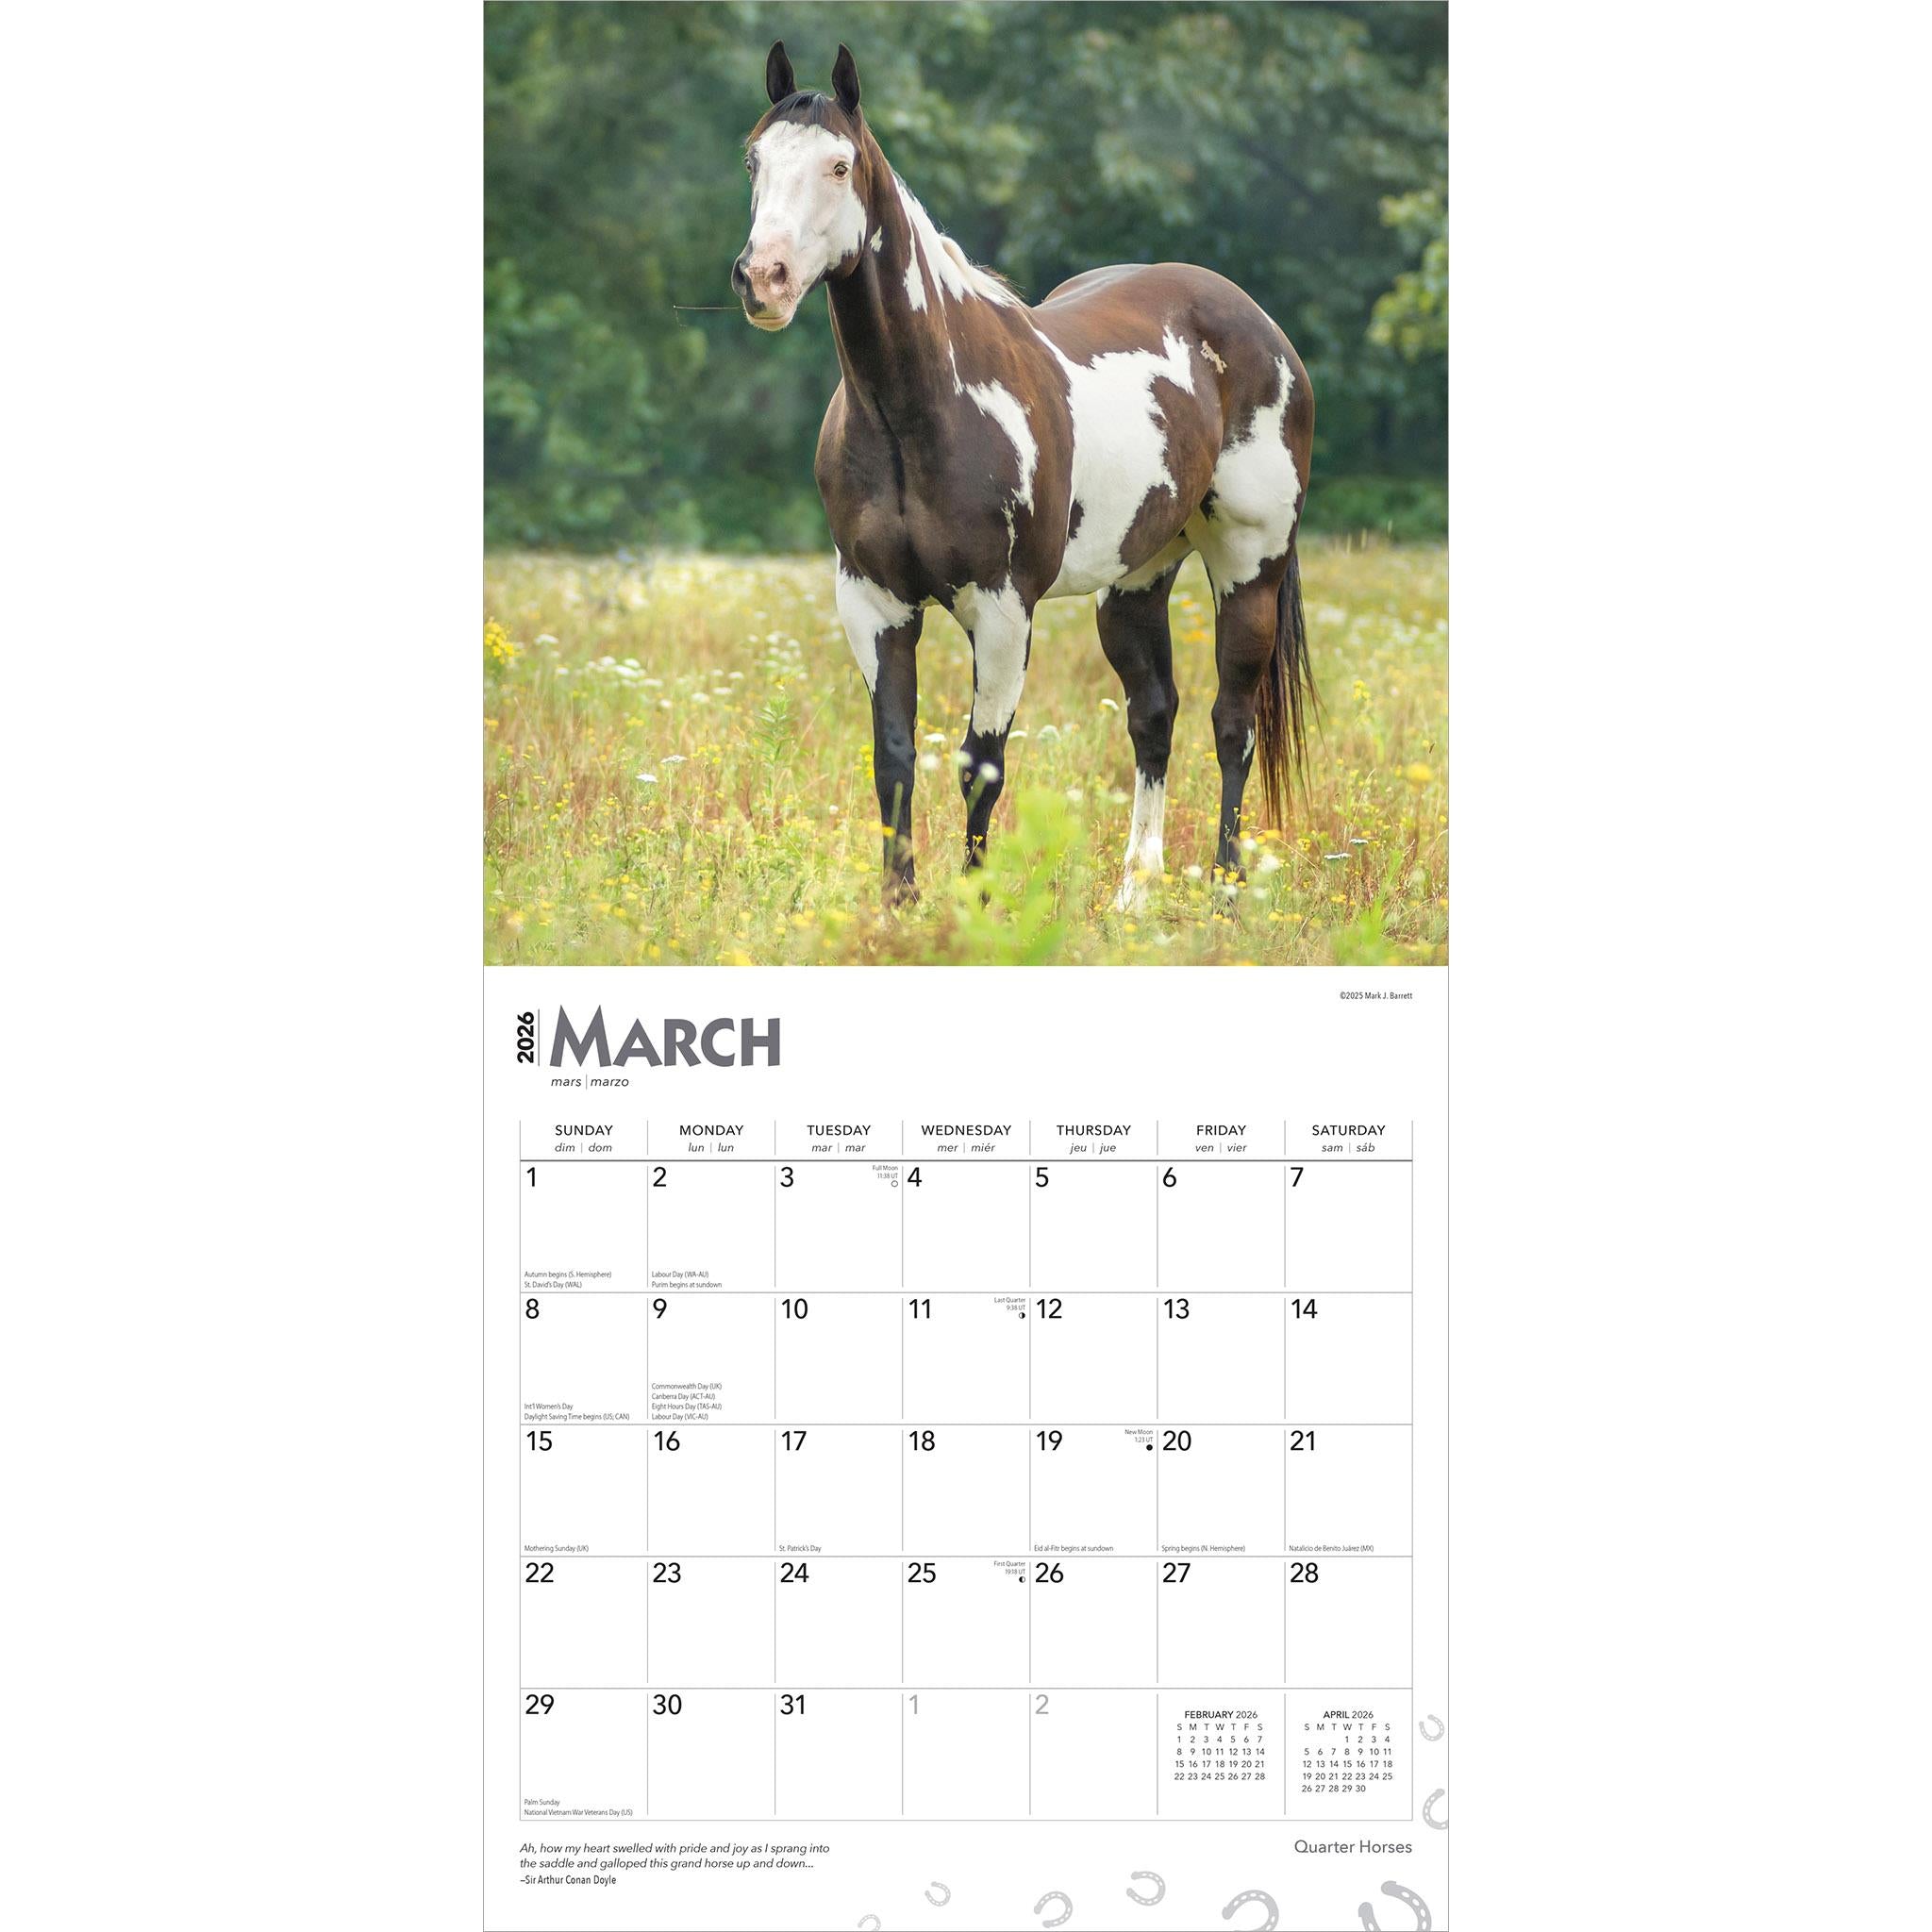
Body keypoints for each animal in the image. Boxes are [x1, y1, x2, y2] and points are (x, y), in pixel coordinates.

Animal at [732, 42, 1316, 911]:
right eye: (754, 160)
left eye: (839, 166)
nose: (762, 278)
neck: (919, 409)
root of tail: (1260, 326)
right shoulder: (873, 603)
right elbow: (894, 759)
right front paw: (898, 906)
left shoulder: (1003, 609)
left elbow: (981, 767)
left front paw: (975, 910)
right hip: (1136, 581)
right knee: (1155, 716)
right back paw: (1134, 895)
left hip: (1251, 565)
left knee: (1233, 723)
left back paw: (1225, 890)